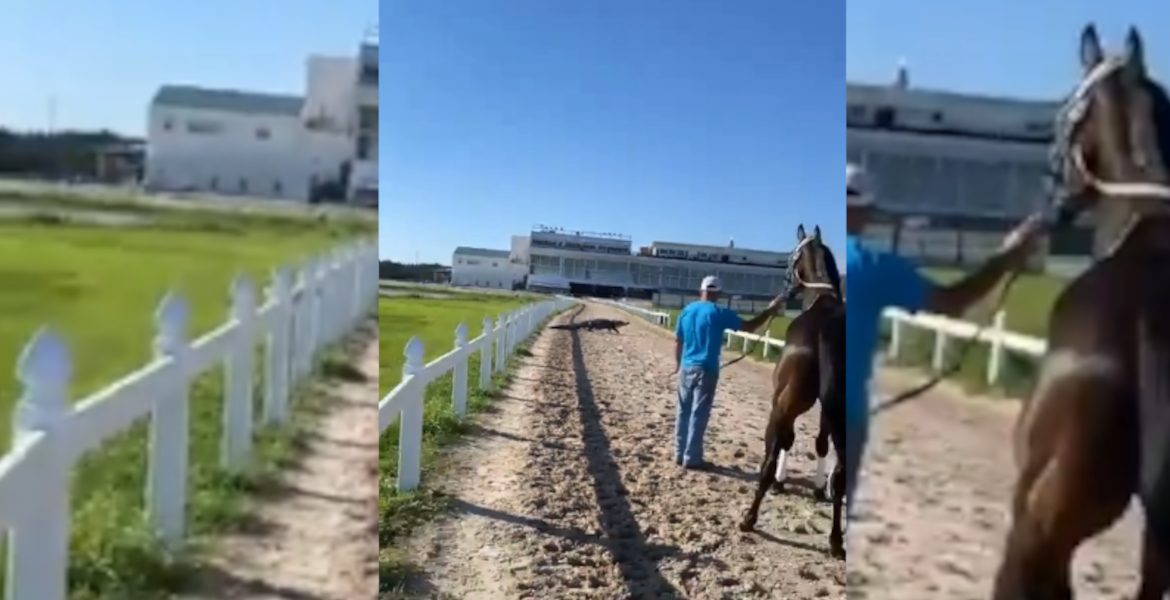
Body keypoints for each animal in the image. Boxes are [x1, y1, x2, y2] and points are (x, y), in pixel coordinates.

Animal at [734, 222, 847, 559]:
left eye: (789, 257)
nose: (785, 289)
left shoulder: (783, 403)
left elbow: (785, 442)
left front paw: (780, 482)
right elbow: (820, 444)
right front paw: (817, 488)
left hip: (784, 405)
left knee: (769, 459)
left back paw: (749, 518)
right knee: (842, 475)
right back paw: (836, 541)